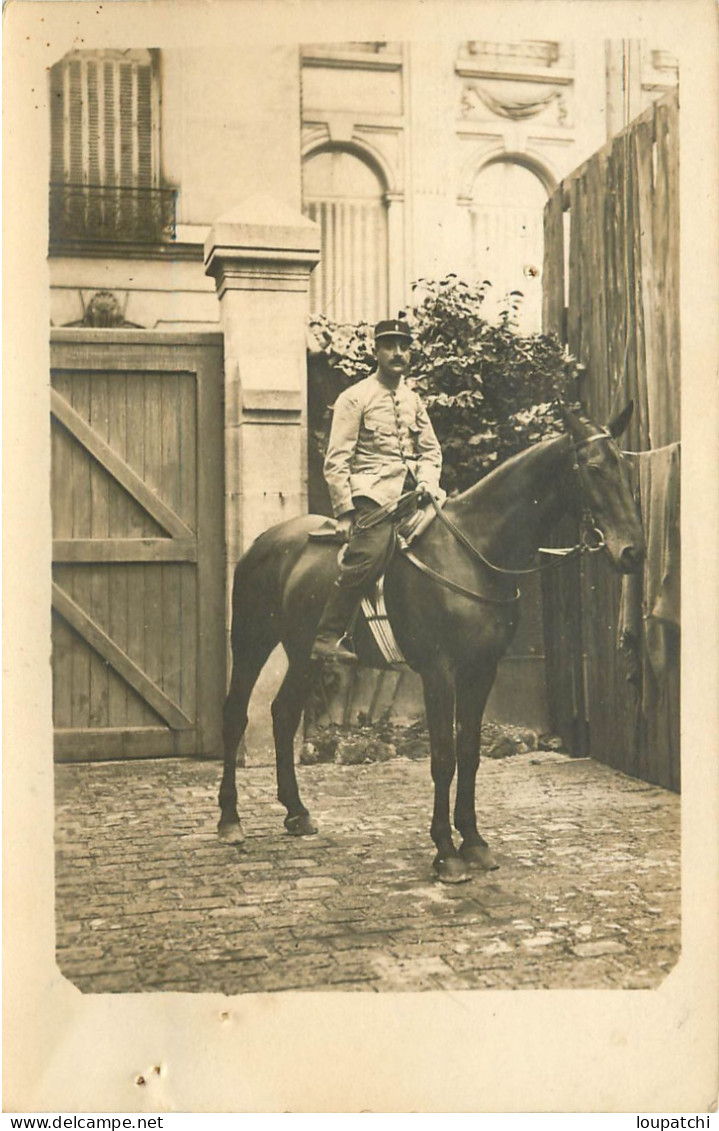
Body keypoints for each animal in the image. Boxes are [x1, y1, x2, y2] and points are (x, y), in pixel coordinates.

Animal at [219, 407, 646, 882]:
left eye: (626, 467)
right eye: (593, 468)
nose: (633, 552)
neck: (472, 553)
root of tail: (265, 540)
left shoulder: (482, 670)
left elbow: (469, 752)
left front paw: (474, 842)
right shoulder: (439, 672)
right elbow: (443, 755)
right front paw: (446, 851)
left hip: (304, 654)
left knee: (283, 713)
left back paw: (296, 812)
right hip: (252, 642)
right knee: (236, 715)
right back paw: (230, 820)